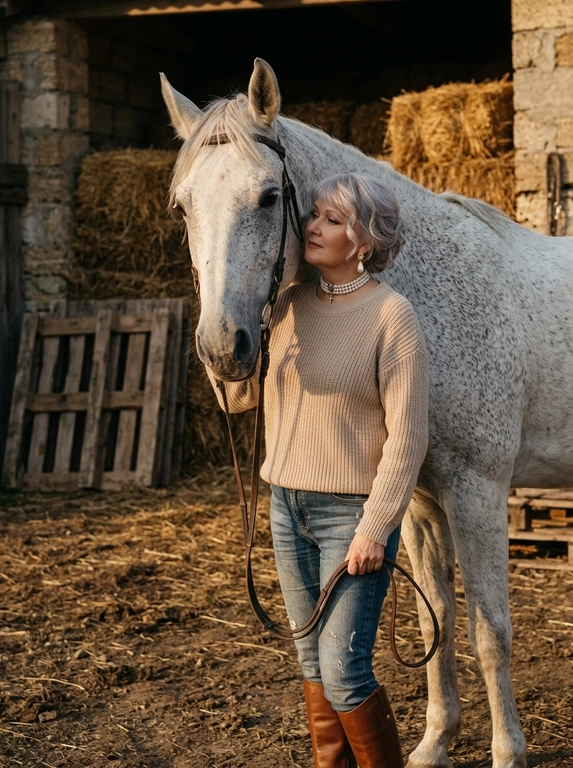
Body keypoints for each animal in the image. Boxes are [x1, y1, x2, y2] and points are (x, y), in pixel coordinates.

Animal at [160, 59, 573, 768]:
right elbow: (436, 620)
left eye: (267, 198)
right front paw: (434, 743)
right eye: (183, 204)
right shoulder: (420, 502)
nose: (222, 349)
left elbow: (489, 631)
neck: (426, 297)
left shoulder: (478, 491)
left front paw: (507, 752)